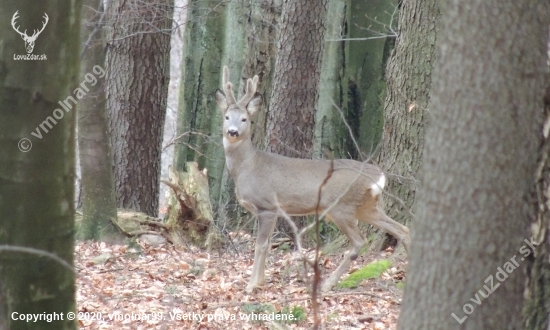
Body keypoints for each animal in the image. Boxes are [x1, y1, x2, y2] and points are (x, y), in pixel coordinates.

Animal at [216, 66, 410, 292]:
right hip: (368, 207)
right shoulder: (271, 211)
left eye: (244, 119)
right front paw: (261, 281)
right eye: (226, 117)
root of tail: (378, 176)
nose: (232, 132)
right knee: (402, 229)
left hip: (340, 206)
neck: (248, 166)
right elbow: (267, 245)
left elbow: (260, 245)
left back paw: (327, 284)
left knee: (360, 241)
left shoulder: (267, 206)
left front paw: (251, 285)